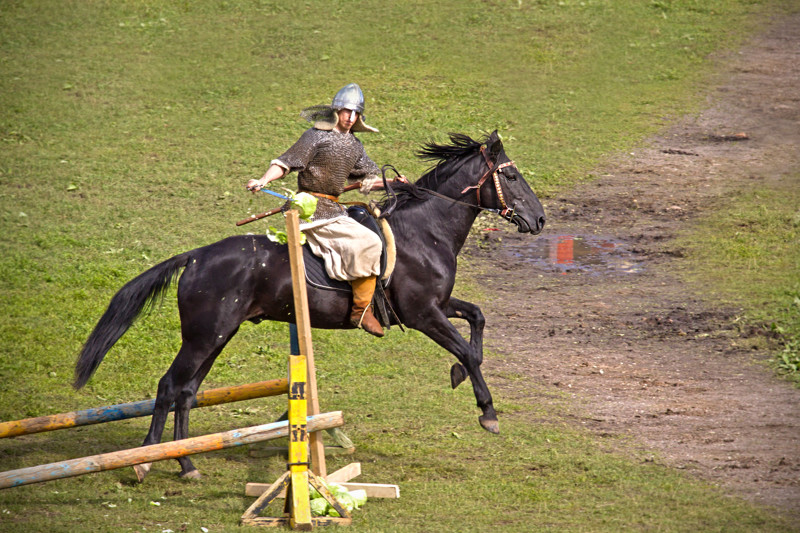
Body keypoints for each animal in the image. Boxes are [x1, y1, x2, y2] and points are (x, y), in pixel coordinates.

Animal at [73, 132, 544, 478]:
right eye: (513, 178)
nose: (539, 220)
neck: (424, 231)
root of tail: (198, 256)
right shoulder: (423, 315)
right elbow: (468, 350)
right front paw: (487, 412)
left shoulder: (437, 306)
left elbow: (478, 320)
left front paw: (459, 375)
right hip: (204, 337)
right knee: (170, 386)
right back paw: (147, 461)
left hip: (217, 336)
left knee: (187, 392)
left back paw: (187, 462)